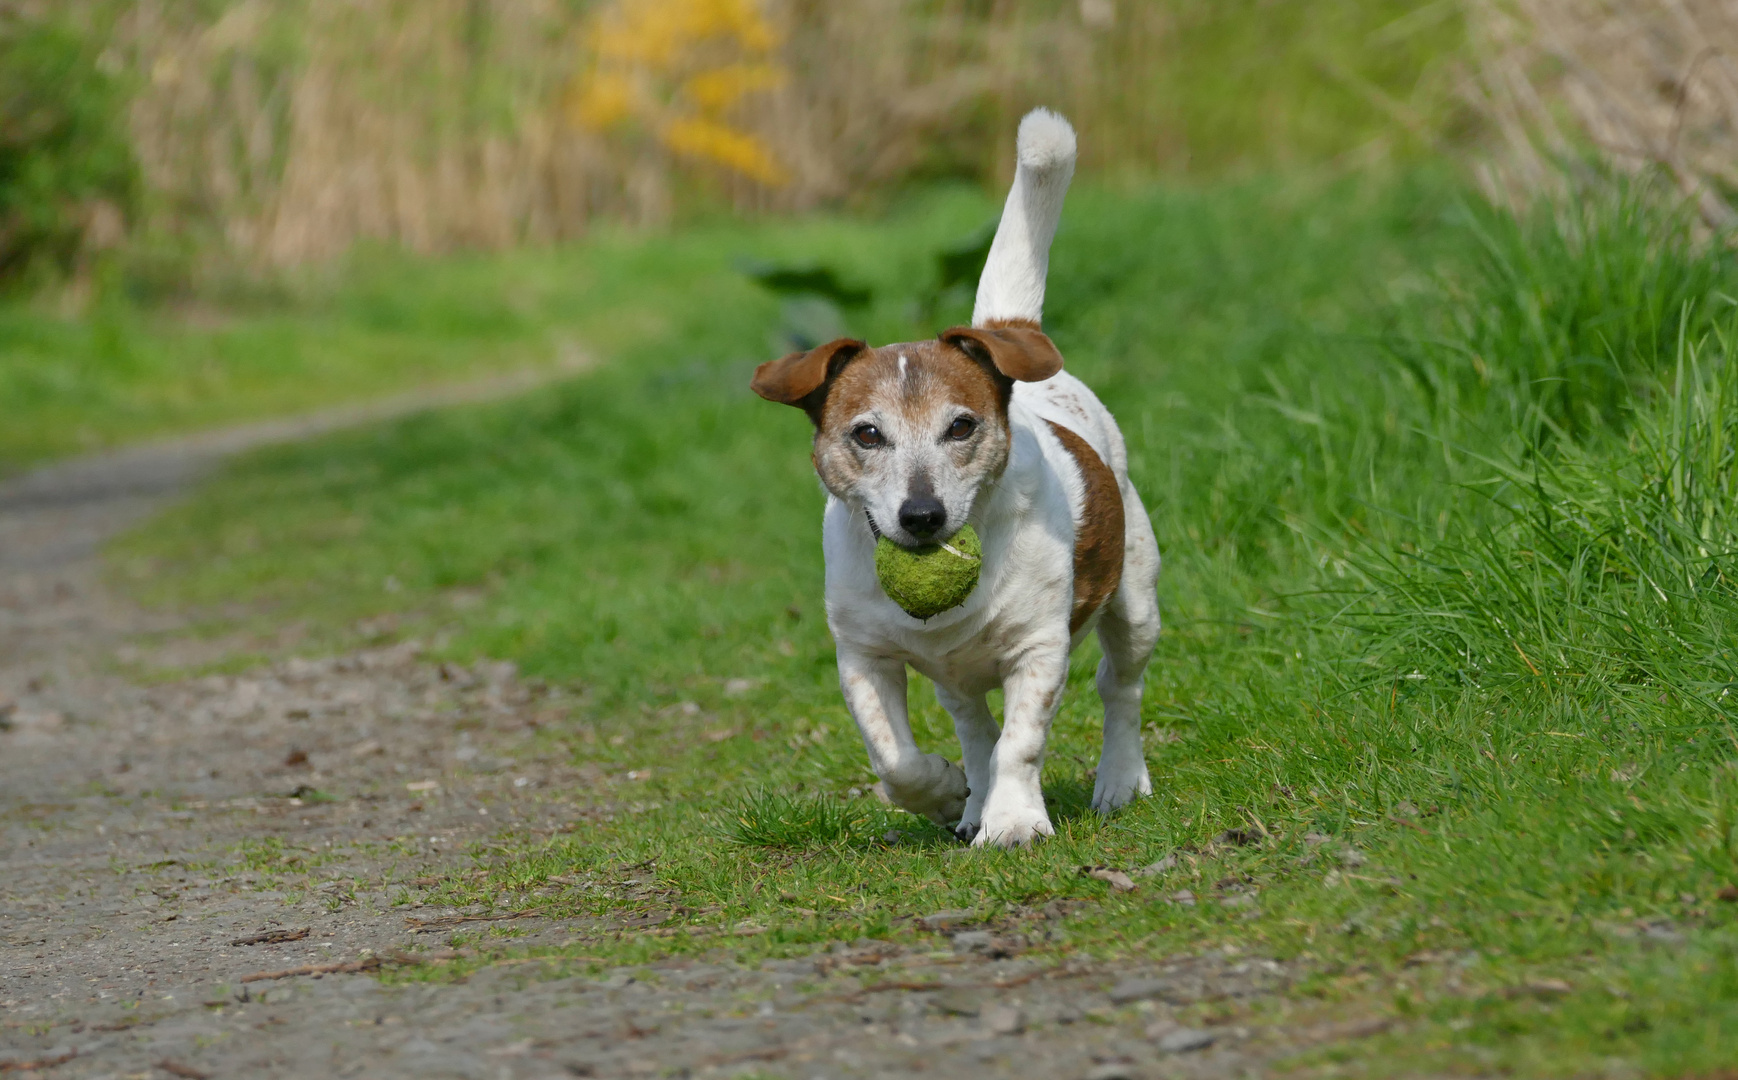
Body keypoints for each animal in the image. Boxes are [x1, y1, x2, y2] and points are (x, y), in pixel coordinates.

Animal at [754, 111, 1160, 852]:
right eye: (867, 434)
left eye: (962, 426)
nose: (922, 516)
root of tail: (1004, 332)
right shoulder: (862, 656)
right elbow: (896, 760)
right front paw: (945, 793)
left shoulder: (1038, 646)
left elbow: (1022, 741)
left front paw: (1014, 820)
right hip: (956, 679)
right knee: (974, 722)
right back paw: (970, 796)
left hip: (1136, 596)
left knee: (1120, 687)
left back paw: (1118, 779)